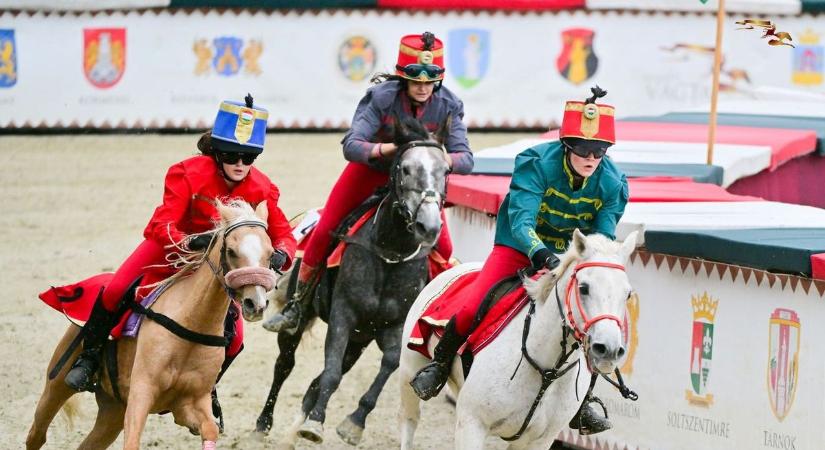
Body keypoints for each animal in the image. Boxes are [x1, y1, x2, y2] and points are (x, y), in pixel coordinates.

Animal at [26, 201, 276, 450]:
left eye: (271, 254)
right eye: (232, 251)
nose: (255, 303)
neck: (192, 322)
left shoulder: (189, 404)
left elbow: (210, 429)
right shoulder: (141, 393)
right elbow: (133, 440)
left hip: (113, 411)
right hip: (57, 384)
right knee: (37, 434)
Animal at [256, 117, 450, 446]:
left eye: (445, 171)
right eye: (405, 168)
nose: (429, 225)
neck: (389, 253)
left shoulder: (393, 326)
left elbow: (388, 364)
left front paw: (354, 422)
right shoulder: (343, 315)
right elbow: (331, 372)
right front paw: (316, 424)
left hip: (360, 339)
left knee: (317, 380)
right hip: (303, 320)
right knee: (285, 365)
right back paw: (264, 423)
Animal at [398, 230, 636, 448]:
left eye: (627, 294)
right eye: (583, 288)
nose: (609, 350)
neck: (547, 371)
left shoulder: (537, 441)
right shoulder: (472, 424)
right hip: (409, 372)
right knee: (409, 420)